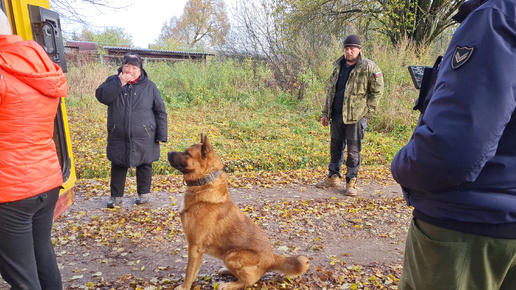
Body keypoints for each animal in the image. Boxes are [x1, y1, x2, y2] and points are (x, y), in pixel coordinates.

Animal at [167, 134, 308, 290]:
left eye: (187, 153)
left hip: (232, 256)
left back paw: (228, 285)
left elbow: (189, 271)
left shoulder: (195, 247)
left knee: (248, 281)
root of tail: (272, 258)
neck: (204, 183)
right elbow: (193, 271)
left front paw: (184, 287)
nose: (167, 152)